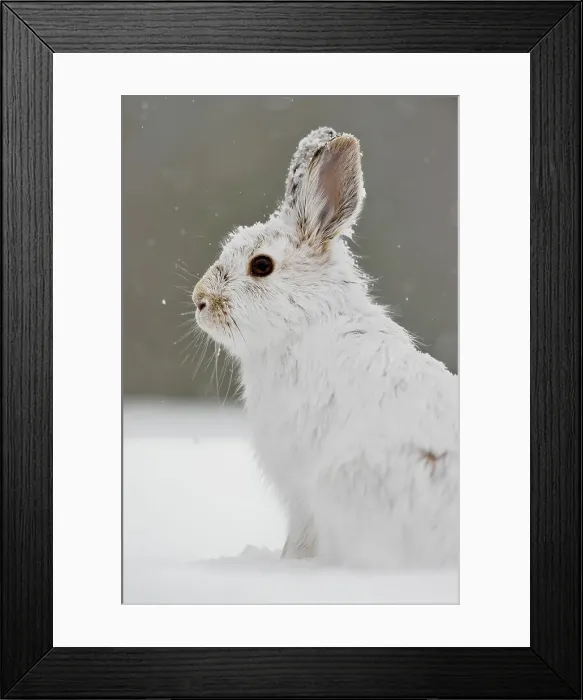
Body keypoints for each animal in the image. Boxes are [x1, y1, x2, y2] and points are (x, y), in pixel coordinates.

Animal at [193, 126, 459, 569]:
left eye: (261, 265)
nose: (199, 301)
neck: (306, 321)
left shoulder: (298, 486)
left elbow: (300, 535)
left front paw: (289, 563)